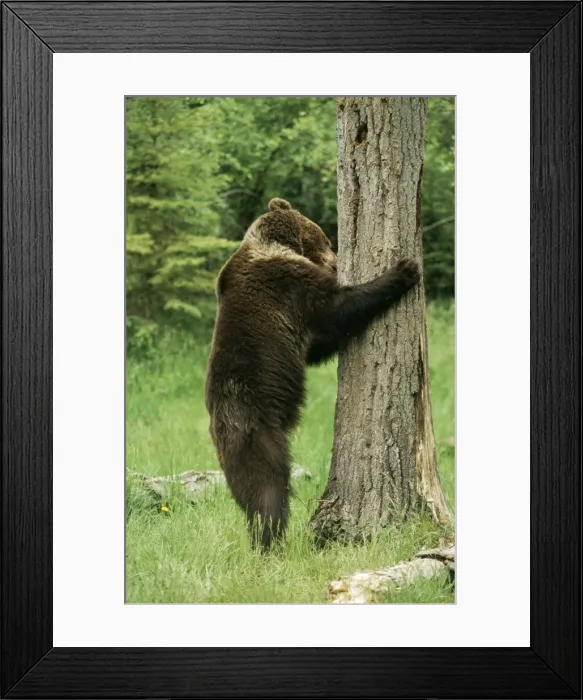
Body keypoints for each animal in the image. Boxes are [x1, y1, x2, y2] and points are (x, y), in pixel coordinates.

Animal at [205, 198, 419, 551]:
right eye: (328, 240)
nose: (337, 261)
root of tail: (218, 426)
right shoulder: (287, 285)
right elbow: (336, 308)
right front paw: (403, 270)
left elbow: (320, 343)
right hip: (257, 431)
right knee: (267, 488)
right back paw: (270, 541)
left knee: (246, 497)